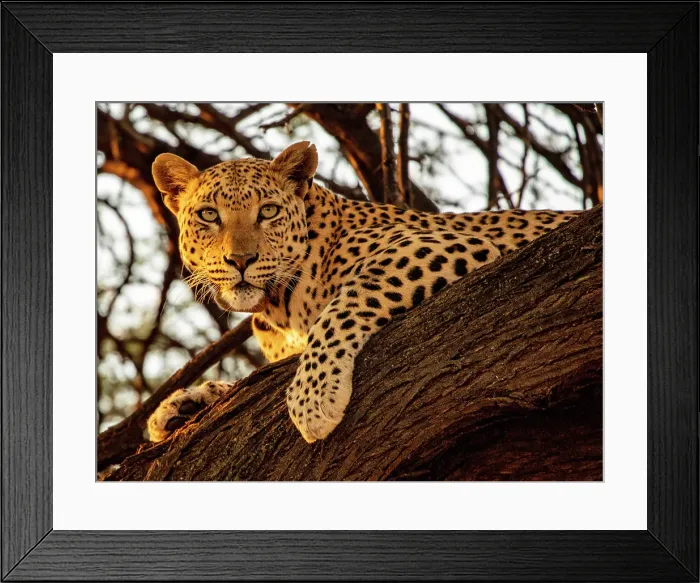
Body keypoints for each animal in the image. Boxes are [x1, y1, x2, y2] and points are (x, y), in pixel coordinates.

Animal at [147, 141, 579, 443]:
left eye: (268, 211)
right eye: (208, 215)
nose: (240, 260)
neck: (279, 309)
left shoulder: (447, 244)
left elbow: (348, 301)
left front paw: (313, 397)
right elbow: (241, 383)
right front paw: (181, 404)